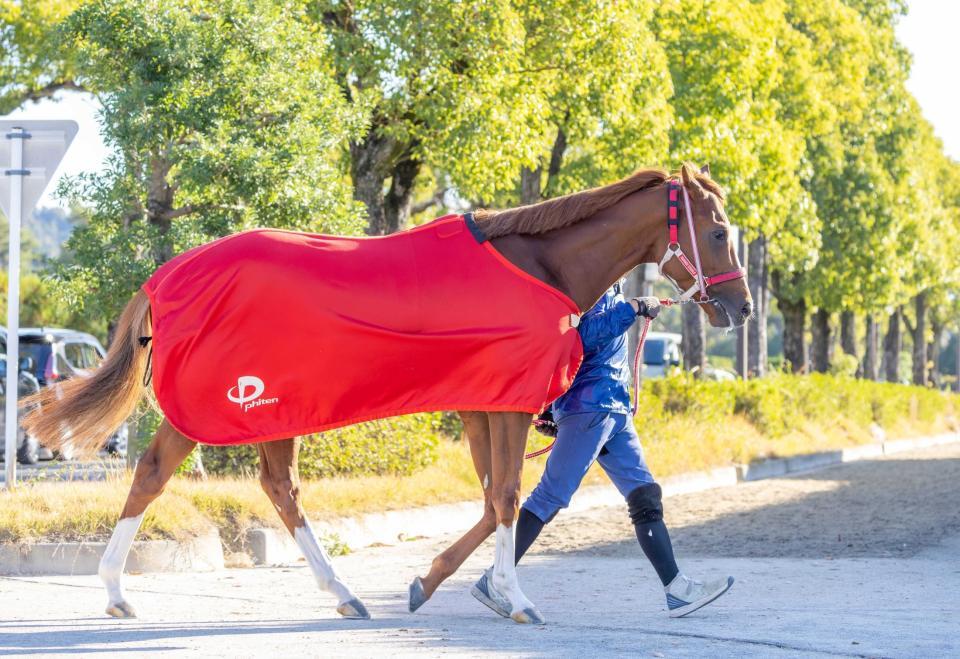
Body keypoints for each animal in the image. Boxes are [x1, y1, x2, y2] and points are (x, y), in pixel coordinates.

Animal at [20, 162, 752, 628]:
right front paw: (512, 598)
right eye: (718, 231)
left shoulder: (480, 405)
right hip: (225, 407)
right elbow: (510, 498)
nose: (741, 307)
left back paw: (342, 594)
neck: (538, 267)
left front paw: (433, 583)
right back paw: (117, 592)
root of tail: (167, 274)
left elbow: (495, 500)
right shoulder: (508, 405)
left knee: (272, 487)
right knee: (160, 473)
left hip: (266, 414)